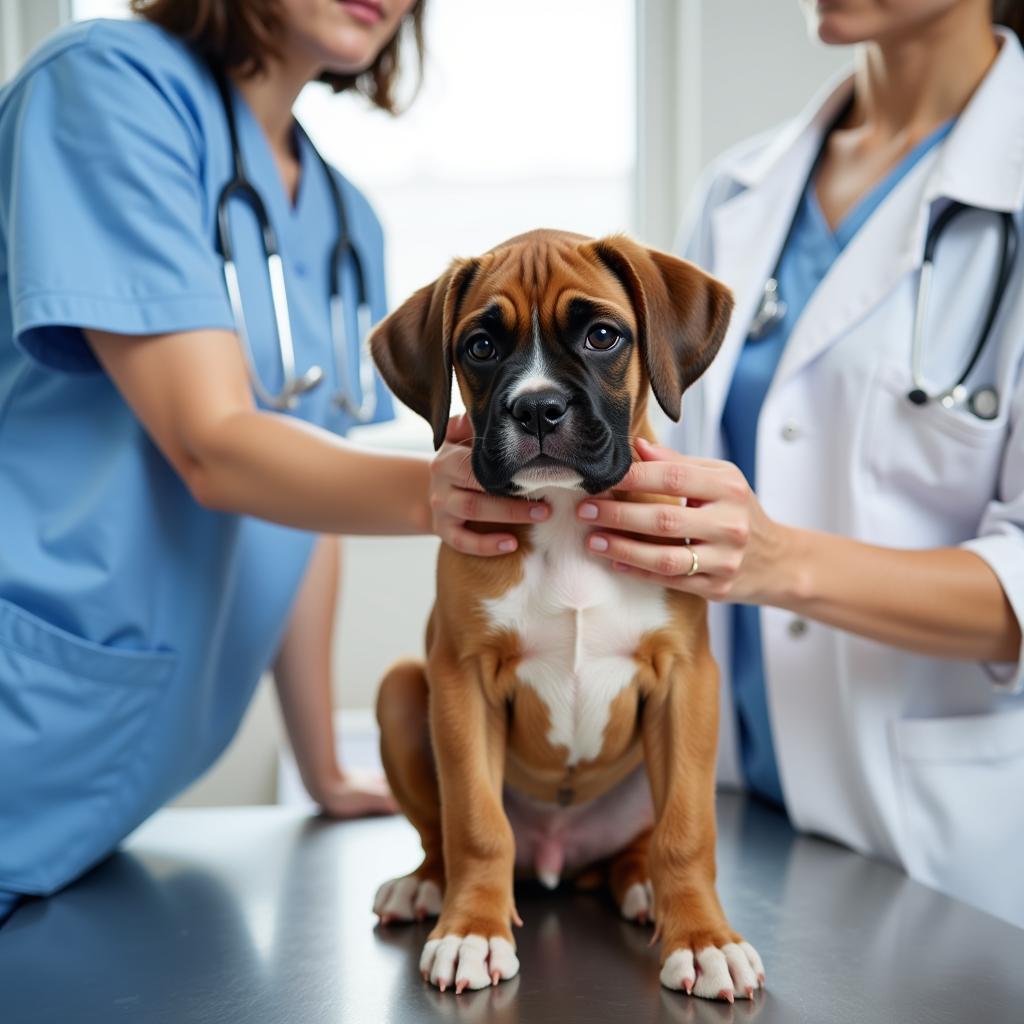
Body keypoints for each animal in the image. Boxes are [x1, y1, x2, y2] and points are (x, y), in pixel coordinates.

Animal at [366, 230, 761, 999]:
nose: (538, 408)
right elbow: (474, 821)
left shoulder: (686, 681)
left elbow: (687, 831)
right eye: (480, 346)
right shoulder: (460, 681)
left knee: (642, 845)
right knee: (440, 833)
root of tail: (558, 859)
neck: (566, 514)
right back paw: (426, 886)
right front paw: (471, 931)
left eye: (603, 336)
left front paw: (704, 941)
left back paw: (644, 888)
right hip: (401, 688)